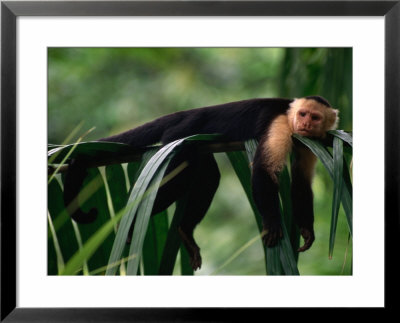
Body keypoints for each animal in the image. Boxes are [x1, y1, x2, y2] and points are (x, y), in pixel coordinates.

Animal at [64, 95, 340, 270]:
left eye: (315, 117)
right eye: (302, 114)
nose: (304, 123)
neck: (291, 118)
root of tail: (189, 113)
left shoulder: (309, 141)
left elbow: (301, 182)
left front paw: (307, 230)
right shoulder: (281, 124)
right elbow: (264, 170)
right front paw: (272, 223)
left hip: (198, 143)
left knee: (209, 178)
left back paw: (185, 231)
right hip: (179, 136)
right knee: (178, 178)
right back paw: (130, 225)